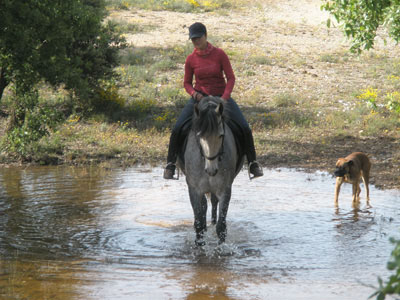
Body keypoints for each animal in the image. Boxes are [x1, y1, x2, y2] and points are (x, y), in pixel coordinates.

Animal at [177, 96, 244, 246]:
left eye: (221, 135)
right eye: (200, 136)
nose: (211, 170)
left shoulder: (225, 189)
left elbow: (221, 227)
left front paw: (221, 247)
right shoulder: (194, 190)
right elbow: (199, 224)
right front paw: (199, 245)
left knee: (213, 204)